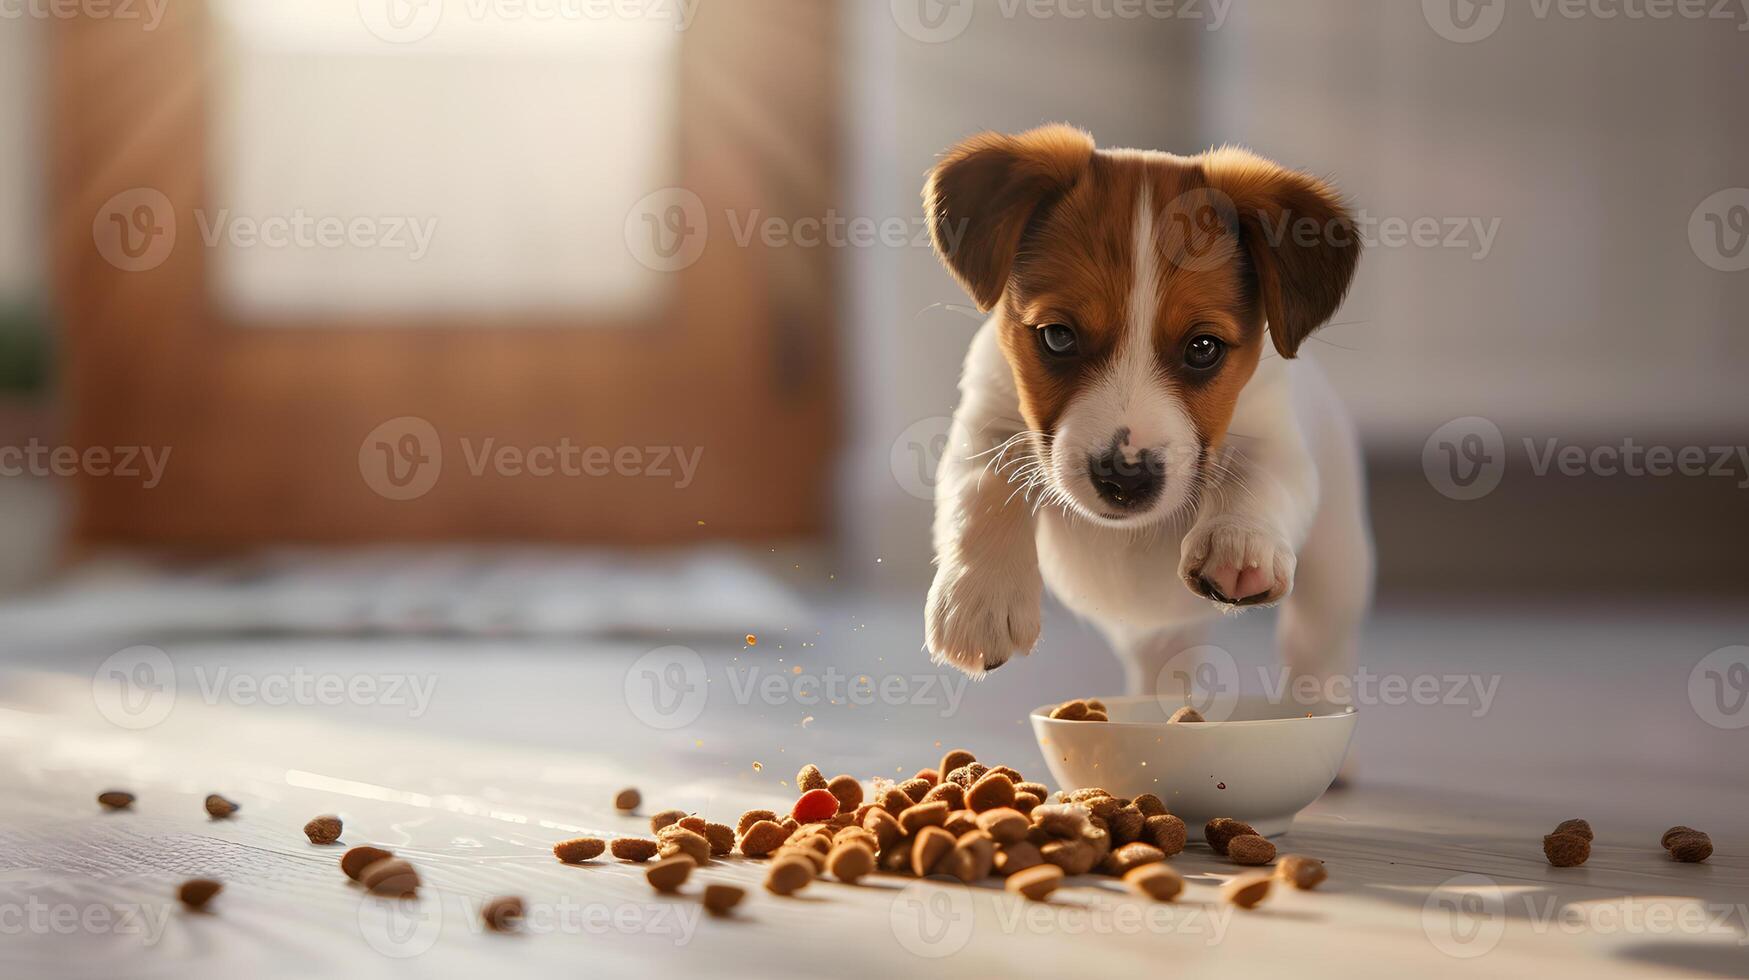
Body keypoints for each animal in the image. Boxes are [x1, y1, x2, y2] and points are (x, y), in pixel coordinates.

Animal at [923, 124, 1371, 696]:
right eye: (1057, 336)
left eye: (1203, 348)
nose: (1124, 479)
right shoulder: (986, 417)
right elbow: (984, 486)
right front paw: (979, 598)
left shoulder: (1277, 438)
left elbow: (1258, 478)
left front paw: (1238, 543)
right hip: (1159, 644)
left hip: (1336, 580)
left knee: (1317, 652)